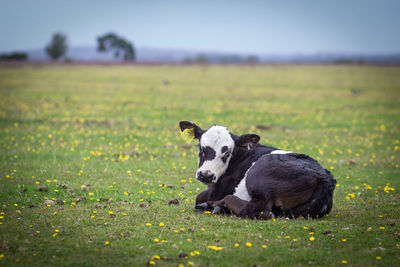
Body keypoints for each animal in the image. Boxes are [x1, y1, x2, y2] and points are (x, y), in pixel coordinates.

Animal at [180, 121, 336, 220]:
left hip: (258, 176)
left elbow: (199, 197)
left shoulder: (218, 190)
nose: (206, 175)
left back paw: (218, 206)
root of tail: (325, 179)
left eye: (227, 152)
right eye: (201, 148)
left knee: (259, 210)